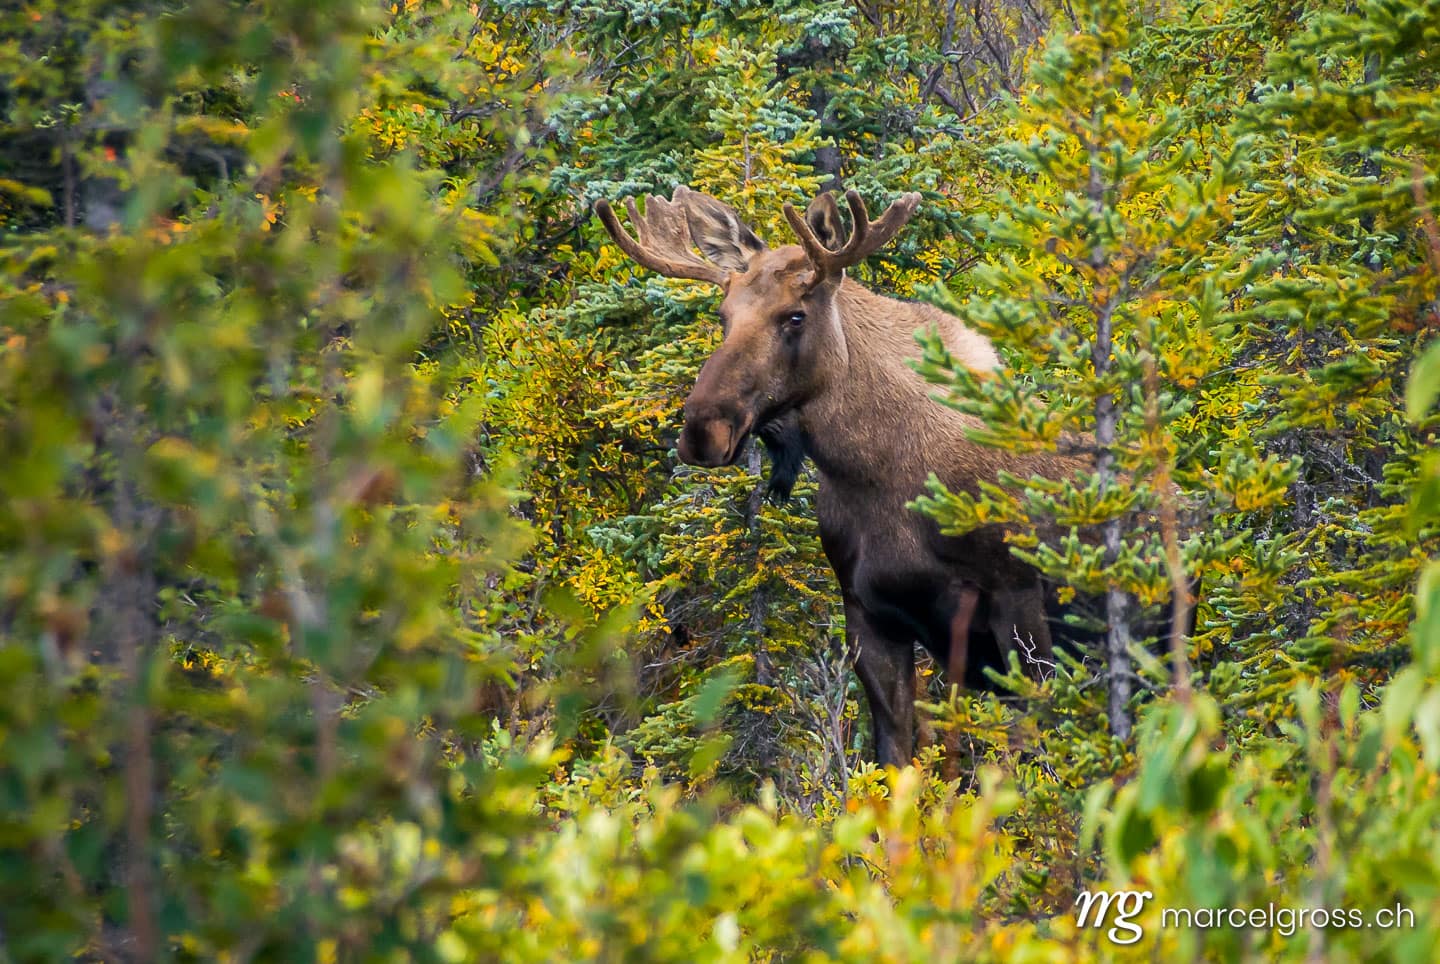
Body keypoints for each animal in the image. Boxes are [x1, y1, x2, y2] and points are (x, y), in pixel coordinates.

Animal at [595, 185, 1113, 767]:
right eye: (723, 315)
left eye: (795, 316)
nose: (704, 430)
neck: (880, 475)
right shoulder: (869, 617)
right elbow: (895, 758)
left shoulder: (1018, 601)